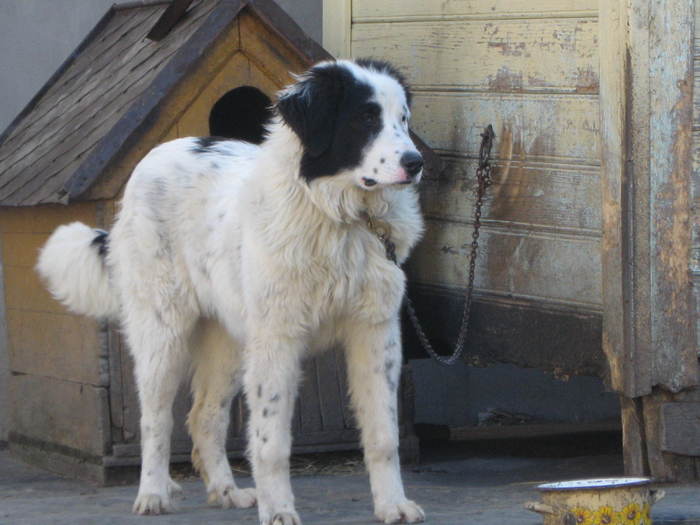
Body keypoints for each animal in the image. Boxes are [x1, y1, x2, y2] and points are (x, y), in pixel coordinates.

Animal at [38, 59, 426, 520]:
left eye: (402, 119)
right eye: (365, 119)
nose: (417, 162)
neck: (339, 217)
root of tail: (157, 154)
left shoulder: (375, 333)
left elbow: (384, 435)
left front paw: (393, 505)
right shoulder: (277, 340)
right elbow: (271, 442)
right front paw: (278, 511)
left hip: (229, 341)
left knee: (204, 416)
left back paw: (226, 491)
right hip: (163, 334)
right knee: (156, 419)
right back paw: (152, 493)